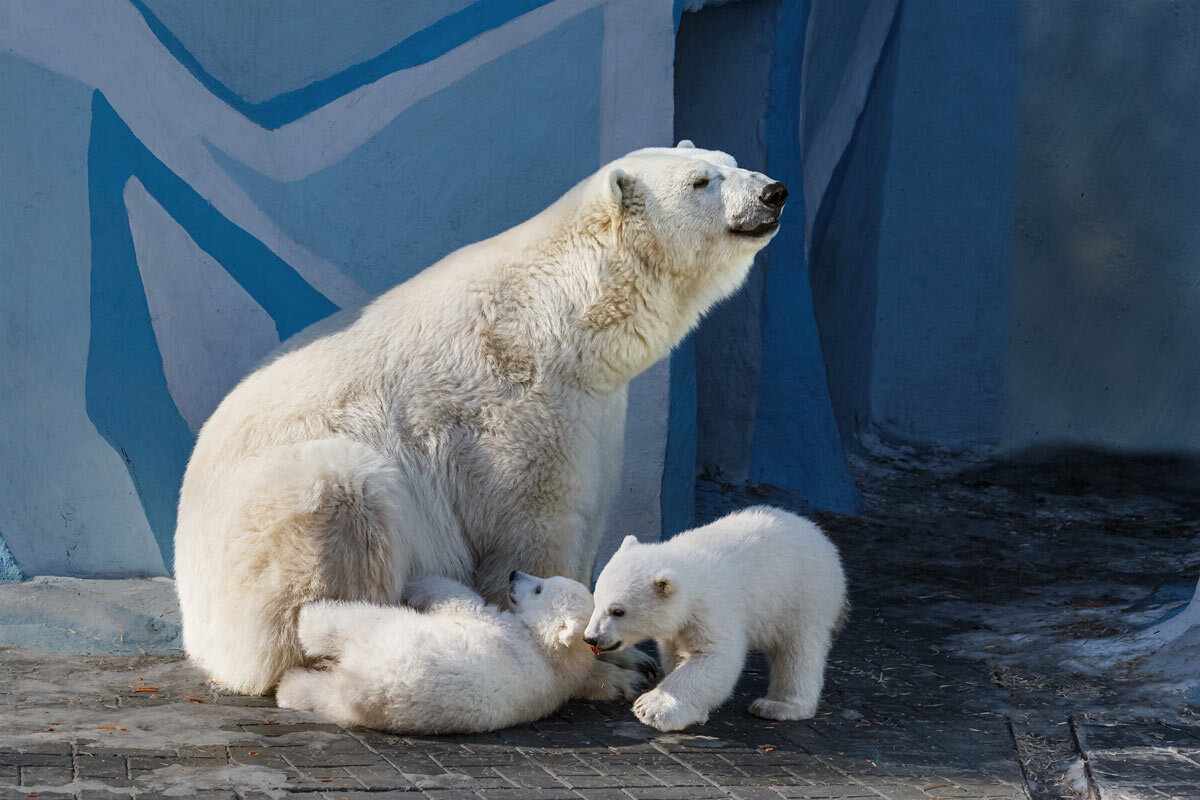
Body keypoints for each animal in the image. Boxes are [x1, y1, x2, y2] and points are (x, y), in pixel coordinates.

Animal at [171, 140, 787, 690]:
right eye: (700, 182)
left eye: (730, 161)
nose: (774, 193)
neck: (563, 319)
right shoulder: (510, 414)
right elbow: (533, 533)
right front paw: (604, 672)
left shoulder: (595, 412)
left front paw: (624, 652)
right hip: (263, 539)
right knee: (336, 498)